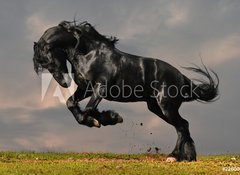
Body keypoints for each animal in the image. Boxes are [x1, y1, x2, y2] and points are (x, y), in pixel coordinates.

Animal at [32, 21, 218, 162]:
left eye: (49, 60)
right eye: (44, 64)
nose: (64, 83)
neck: (90, 54)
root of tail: (181, 77)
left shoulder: (101, 88)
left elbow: (89, 109)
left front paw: (107, 118)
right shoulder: (85, 89)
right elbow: (72, 104)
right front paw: (101, 119)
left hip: (166, 107)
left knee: (182, 125)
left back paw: (174, 156)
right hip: (156, 108)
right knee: (183, 126)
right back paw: (187, 157)